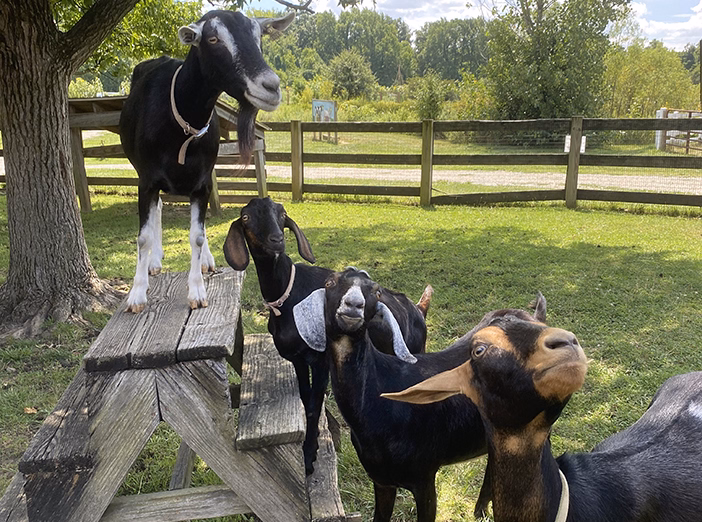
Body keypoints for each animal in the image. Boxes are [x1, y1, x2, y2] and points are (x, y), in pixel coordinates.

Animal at [119, 10, 294, 313]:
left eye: (258, 37)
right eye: (212, 39)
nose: (271, 87)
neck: (181, 126)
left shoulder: (201, 183)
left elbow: (197, 235)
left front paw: (197, 291)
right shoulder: (147, 181)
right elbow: (143, 237)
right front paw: (137, 294)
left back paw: (205, 261)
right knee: (159, 210)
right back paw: (154, 261)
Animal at [222, 197, 432, 475]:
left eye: (282, 213)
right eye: (245, 217)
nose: (276, 240)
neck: (287, 297)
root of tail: (418, 310)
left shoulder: (320, 359)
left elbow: (313, 405)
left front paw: (309, 455)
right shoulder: (298, 359)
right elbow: (305, 397)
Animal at [295, 268, 502, 522]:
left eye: (376, 291)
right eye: (330, 283)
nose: (353, 305)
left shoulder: (424, 478)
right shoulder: (381, 479)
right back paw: (480, 511)